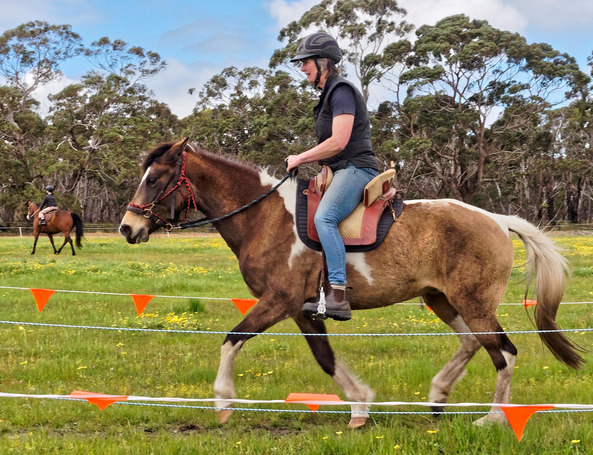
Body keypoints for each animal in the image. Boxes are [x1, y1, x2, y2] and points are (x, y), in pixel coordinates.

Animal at [118, 140, 580, 432]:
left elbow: (232, 339)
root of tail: (497, 220)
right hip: (441, 299)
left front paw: (223, 402)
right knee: (471, 343)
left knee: (504, 352)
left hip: (475, 303)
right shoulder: (300, 309)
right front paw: (360, 405)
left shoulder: (279, 300)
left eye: (154, 179)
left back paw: (494, 417)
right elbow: (325, 358)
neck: (264, 218)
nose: (127, 227)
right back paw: (438, 396)